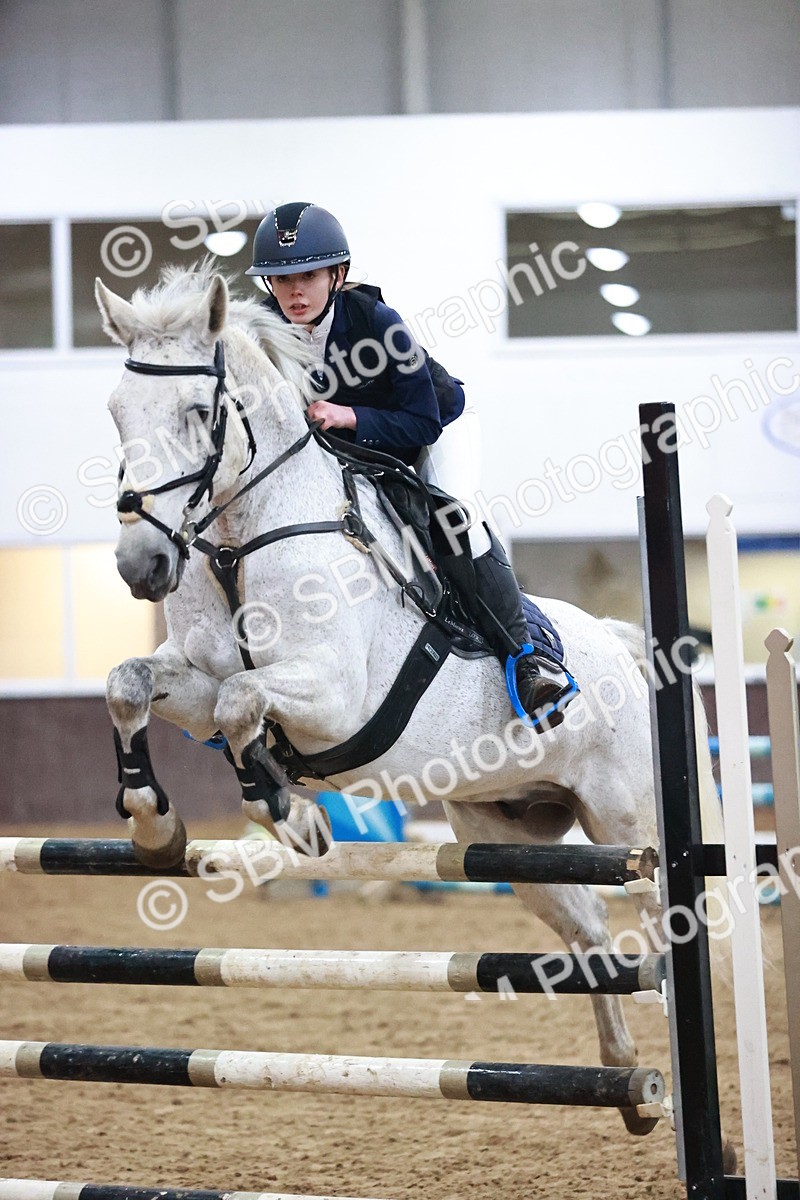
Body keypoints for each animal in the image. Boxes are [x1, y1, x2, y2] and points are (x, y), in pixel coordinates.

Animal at [94, 262, 725, 1144]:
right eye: (116, 412)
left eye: (200, 412)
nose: (141, 566)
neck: (241, 534)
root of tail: (620, 645)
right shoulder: (195, 676)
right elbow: (134, 685)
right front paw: (156, 824)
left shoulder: (335, 695)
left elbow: (244, 703)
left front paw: (290, 816)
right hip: (507, 836)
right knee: (590, 935)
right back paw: (630, 1084)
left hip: (628, 823)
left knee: (668, 919)